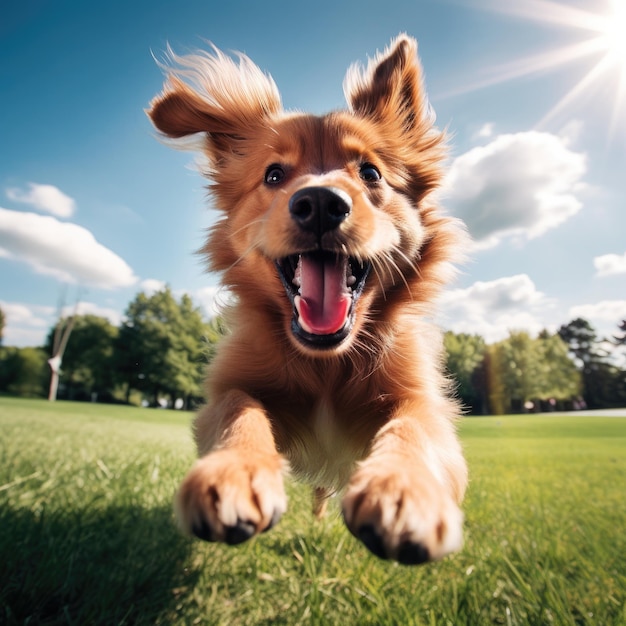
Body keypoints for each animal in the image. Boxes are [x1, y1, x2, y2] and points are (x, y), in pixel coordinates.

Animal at [149, 31, 466, 564]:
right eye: (274, 175)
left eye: (370, 173)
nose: (320, 203)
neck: (326, 366)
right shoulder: (232, 386)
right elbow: (238, 407)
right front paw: (232, 473)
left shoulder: (420, 398)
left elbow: (413, 426)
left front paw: (403, 490)